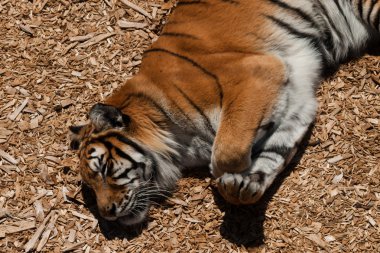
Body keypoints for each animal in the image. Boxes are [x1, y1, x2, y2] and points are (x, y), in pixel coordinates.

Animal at [70, 0, 380, 225]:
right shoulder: (297, 104)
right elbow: (275, 152)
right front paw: (245, 185)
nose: (107, 213)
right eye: (90, 185)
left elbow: (228, 150)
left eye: (104, 169)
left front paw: (227, 178)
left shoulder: (257, 72)